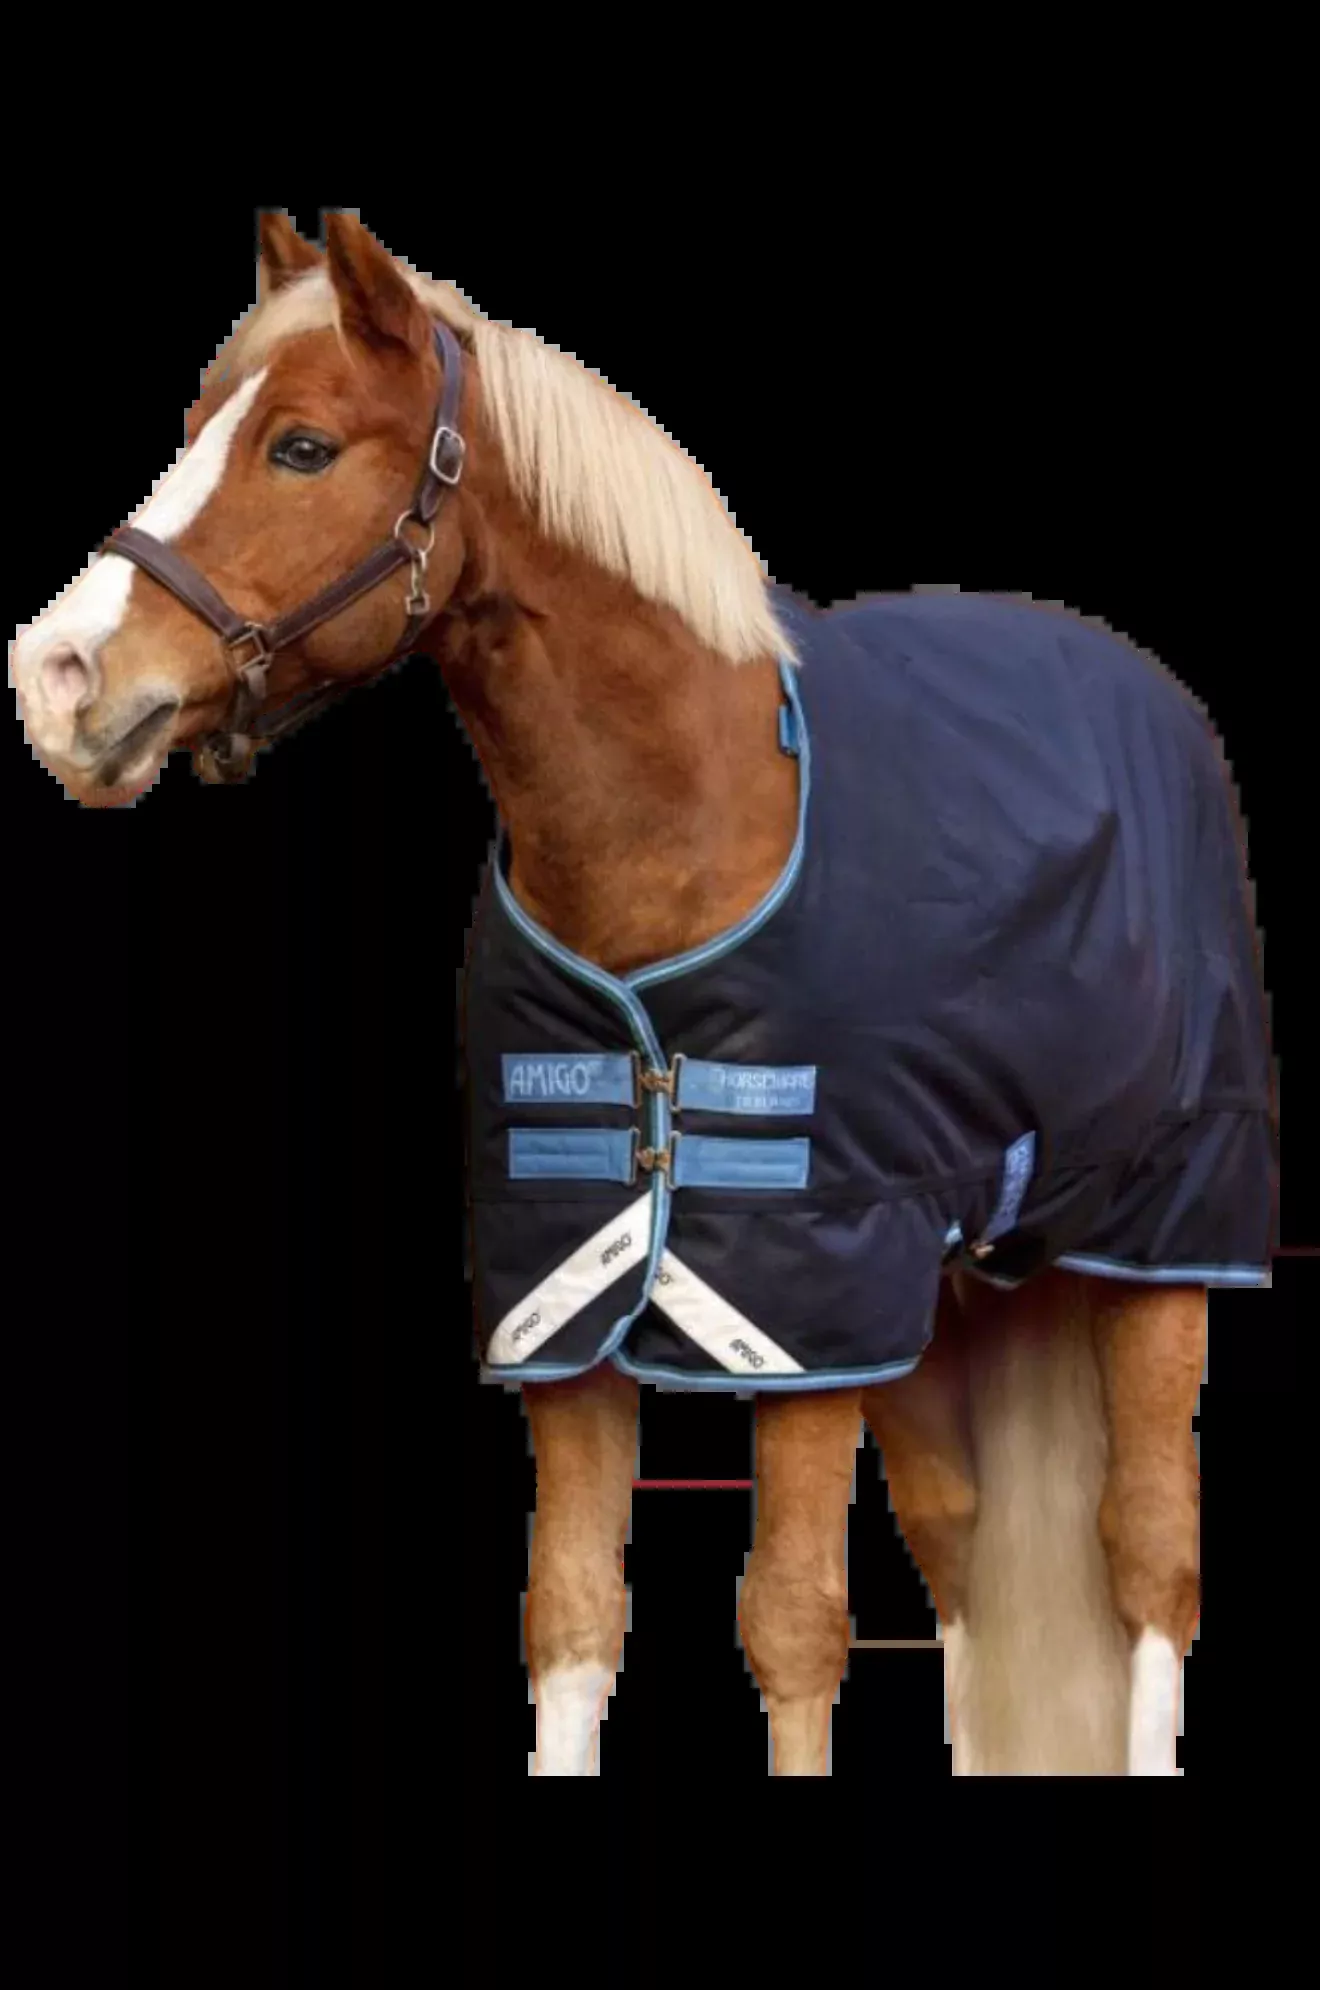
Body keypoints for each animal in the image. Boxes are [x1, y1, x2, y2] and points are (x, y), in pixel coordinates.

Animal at [11, 210, 1273, 1776]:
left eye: (300, 446)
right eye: (194, 428)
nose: (57, 677)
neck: (683, 828)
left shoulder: (806, 1319)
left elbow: (792, 1622)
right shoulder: (567, 1313)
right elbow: (570, 1616)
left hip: (1161, 1242)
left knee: (1148, 1553)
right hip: (941, 1283)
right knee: (964, 1553)